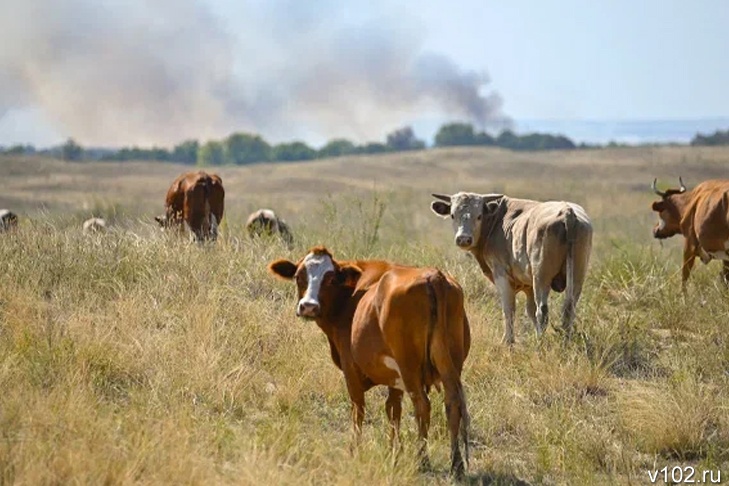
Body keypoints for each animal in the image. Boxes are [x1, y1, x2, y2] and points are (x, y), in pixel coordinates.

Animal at [270, 247, 470, 478]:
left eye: (330, 279)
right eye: (298, 276)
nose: (308, 307)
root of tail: (433, 276)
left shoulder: (351, 369)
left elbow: (358, 410)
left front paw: (354, 450)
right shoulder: (394, 379)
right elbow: (393, 410)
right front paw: (394, 453)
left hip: (409, 367)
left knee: (422, 405)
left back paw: (423, 460)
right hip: (450, 364)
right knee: (452, 402)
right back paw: (456, 463)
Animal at [432, 192, 592, 344]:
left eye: (479, 216)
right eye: (453, 215)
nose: (464, 239)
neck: (497, 221)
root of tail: (567, 212)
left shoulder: (501, 274)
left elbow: (509, 309)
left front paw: (508, 341)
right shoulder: (528, 285)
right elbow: (529, 310)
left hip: (541, 277)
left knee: (542, 311)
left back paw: (540, 343)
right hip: (577, 277)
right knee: (568, 309)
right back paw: (565, 342)